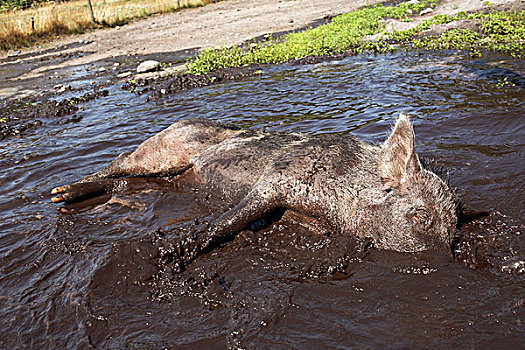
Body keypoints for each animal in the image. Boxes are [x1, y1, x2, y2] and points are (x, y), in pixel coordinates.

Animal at [51, 113, 456, 264]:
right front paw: (171, 256)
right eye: (420, 215)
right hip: (164, 149)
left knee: (130, 181)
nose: (447, 260)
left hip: (165, 173)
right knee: (122, 159)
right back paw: (58, 194)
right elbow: (229, 220)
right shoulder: (277, 180)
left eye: (452, 229)